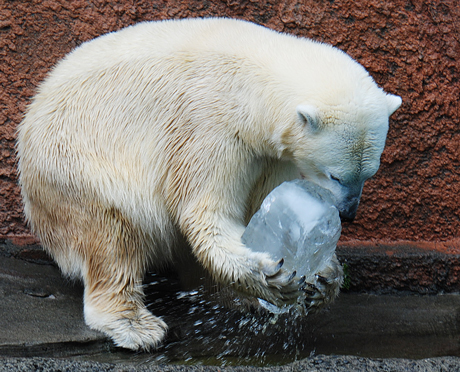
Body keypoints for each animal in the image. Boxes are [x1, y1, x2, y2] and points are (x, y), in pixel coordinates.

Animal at [17, 16, 398, 348]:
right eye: (336, 175)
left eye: (369, 173)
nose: (349, 212)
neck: (252, 82)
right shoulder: (209, 125)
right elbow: (205, 212)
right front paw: (269, 274)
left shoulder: (273, 154)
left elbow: (261, 206)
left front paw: (325, 276)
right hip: (76, 165)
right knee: (113, 234)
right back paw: (136, 324)